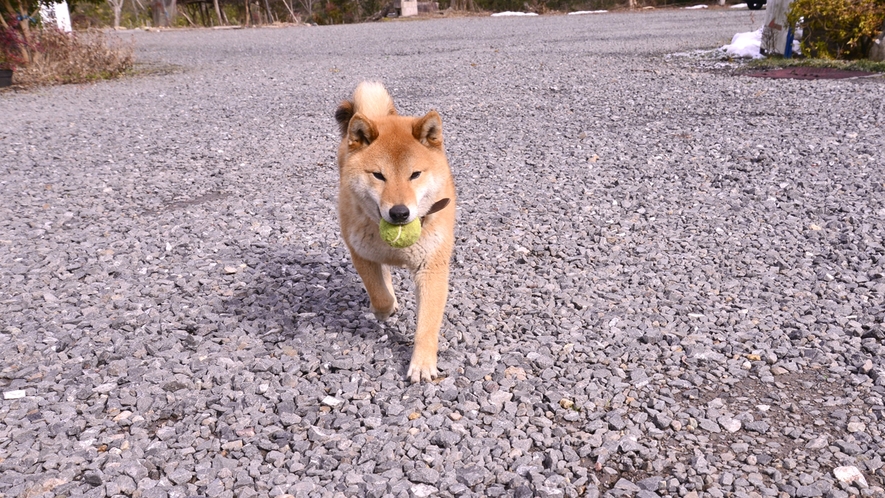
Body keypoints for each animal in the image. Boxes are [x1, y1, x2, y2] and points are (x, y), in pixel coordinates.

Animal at [334, 83, 456, 384]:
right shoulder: (361, 254)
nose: (400, 212)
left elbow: (427, 324)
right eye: (379, 175)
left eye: (415, 174)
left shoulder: (432, 267)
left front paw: (422, 364)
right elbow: (379, 295)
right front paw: (386, 309)